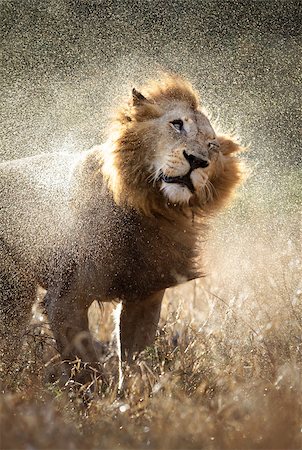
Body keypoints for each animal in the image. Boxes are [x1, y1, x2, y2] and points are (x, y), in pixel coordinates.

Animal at [0, 74, 243, 386]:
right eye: (177, 124)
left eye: (212, 145)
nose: (197, 160)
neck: (147, 210)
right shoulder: (66, 299)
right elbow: (87, 368)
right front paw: (98, 395)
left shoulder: (145, 296)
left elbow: (135, 363)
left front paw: (137, 394)